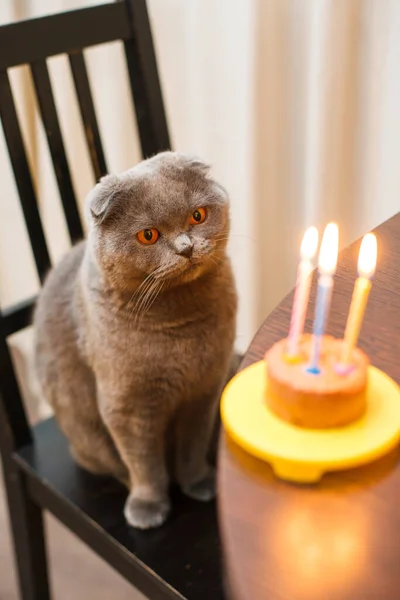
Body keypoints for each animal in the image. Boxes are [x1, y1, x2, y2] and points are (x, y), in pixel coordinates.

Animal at [34, 151, 238, 528]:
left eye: (197, 215)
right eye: (148, 235)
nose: (186, 247)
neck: (180, 324)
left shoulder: (205, 387)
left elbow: (193, 443)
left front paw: (198, 482)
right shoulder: (128, 404)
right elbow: (143, 461)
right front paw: (148, 507)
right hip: (86, 434)